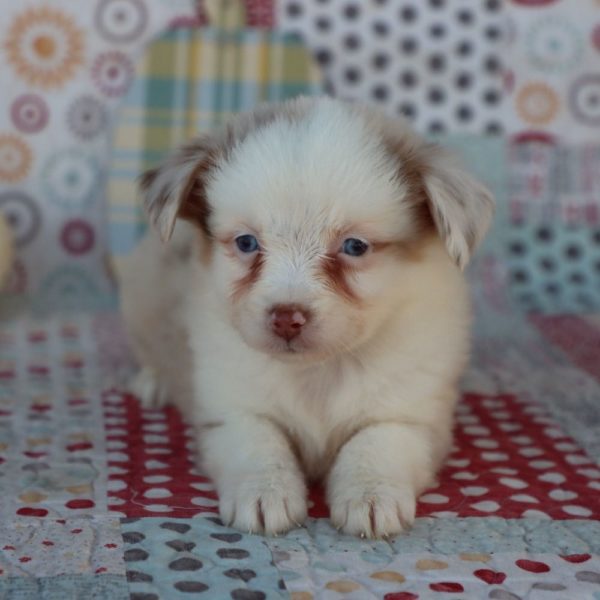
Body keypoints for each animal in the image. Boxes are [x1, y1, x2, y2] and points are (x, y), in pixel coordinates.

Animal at [119, 96, 494, 536]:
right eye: (247, 243)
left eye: (354, 246)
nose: (286, 318)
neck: (319, 372)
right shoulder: (230, 409)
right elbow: (260, 443)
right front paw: (265, 493)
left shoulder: (411, 417)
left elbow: (374, 444)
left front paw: (371, 495)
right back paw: (153, 382)